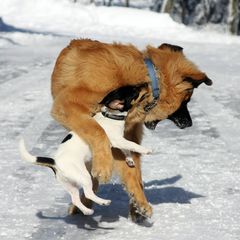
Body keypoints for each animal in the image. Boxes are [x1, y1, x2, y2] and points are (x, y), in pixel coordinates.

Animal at [20, 85, 152, 215]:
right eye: (134, 91)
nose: (145, 84)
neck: (111, 116)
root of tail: (55, 162)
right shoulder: (117, 140)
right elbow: (132, 145)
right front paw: (147, 150)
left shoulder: (118, 142)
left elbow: (127, 149)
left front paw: (130, 160)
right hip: (83, 176)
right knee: (88, 193)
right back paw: (103, 202)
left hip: (69, 184)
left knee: (75, 199)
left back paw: (87, 210)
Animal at [50, 39, 212, 221]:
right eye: (187, 100)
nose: (189, 123)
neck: (150, 78)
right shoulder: (67, 106)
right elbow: (97, 130)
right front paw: (103, 168)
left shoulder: (124, 135)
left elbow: (131, 170)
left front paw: (138, 201)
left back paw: (135, 203)